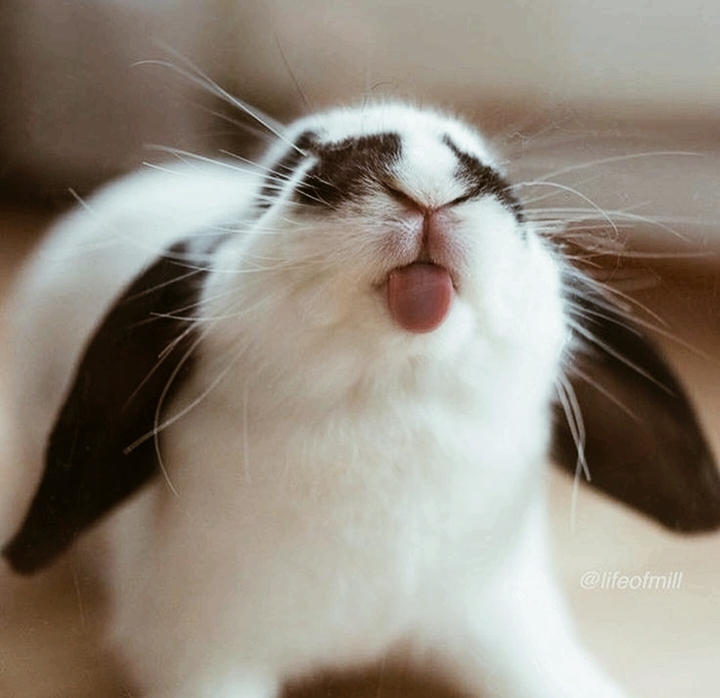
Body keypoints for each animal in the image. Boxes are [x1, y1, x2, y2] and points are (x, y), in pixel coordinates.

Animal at [3, 100, 720, 698]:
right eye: (292, 162)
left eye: (492, 169)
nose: (428, 183)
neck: (388, 399)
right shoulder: (200, 655)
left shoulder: (502, 616)